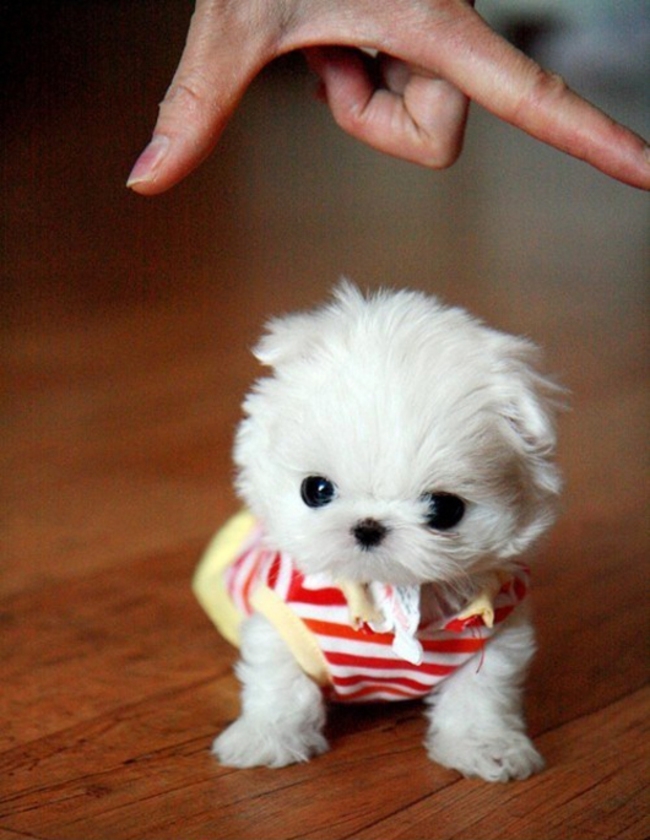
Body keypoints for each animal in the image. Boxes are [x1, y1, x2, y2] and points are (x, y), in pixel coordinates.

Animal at [194, 284, 560, 780]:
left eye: (444, 509)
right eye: (316, 490)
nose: (368, 526)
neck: (388, 592)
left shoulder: (497, 637)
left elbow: (480, 698)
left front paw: (486, 749)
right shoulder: (278, 626)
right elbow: (280, 685)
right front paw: (267, 740)